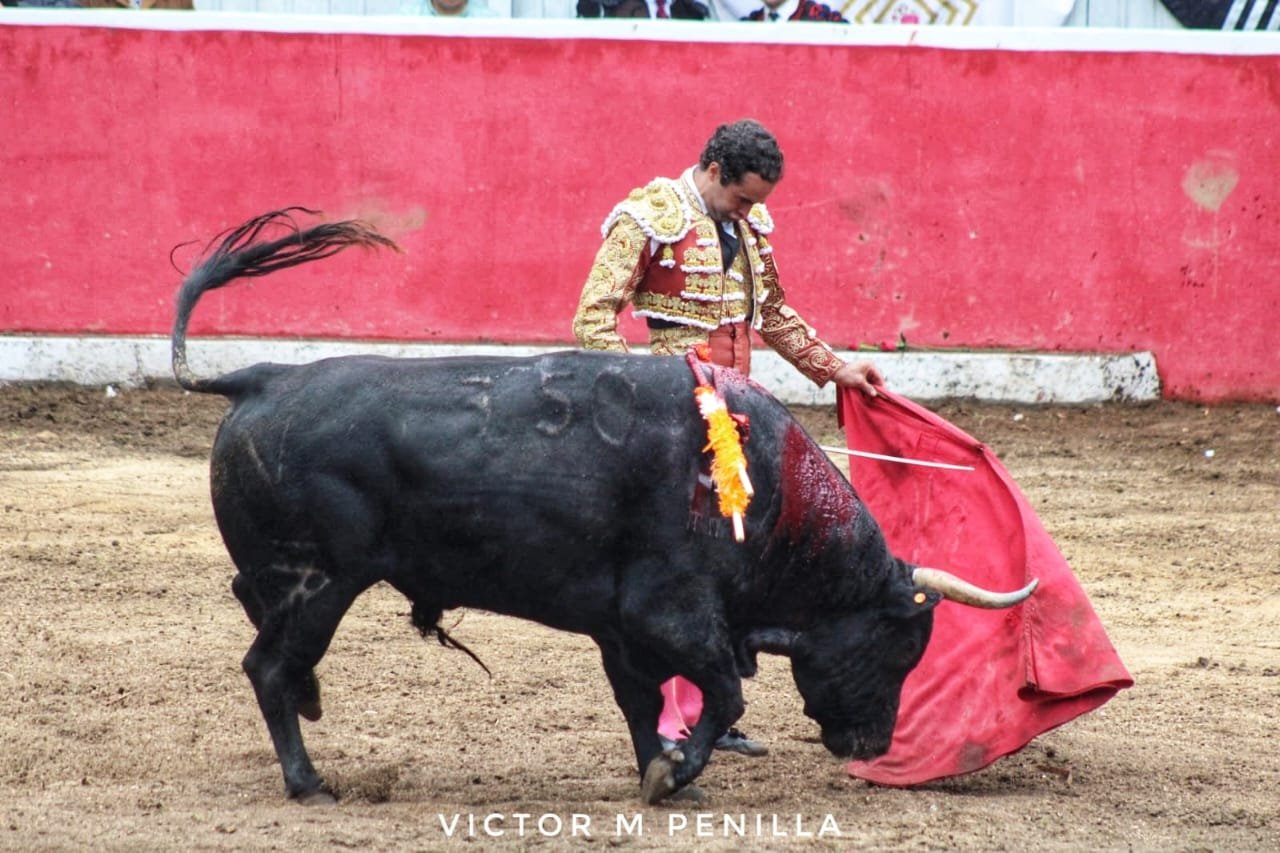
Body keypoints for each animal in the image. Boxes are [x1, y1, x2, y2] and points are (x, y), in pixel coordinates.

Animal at [171, 208, 1036, 805]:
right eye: (901, 645)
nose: (873, 742)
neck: (769, 493)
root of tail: (262, 378)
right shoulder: (673, 612)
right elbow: (721, 692)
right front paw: (676, 772)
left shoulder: (624, 627)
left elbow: (643, 701)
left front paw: (664, 772)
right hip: (320, 578)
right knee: (268, 664)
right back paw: (308, 779)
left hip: (295, 576)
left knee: (257, 617)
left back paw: (313, 706)